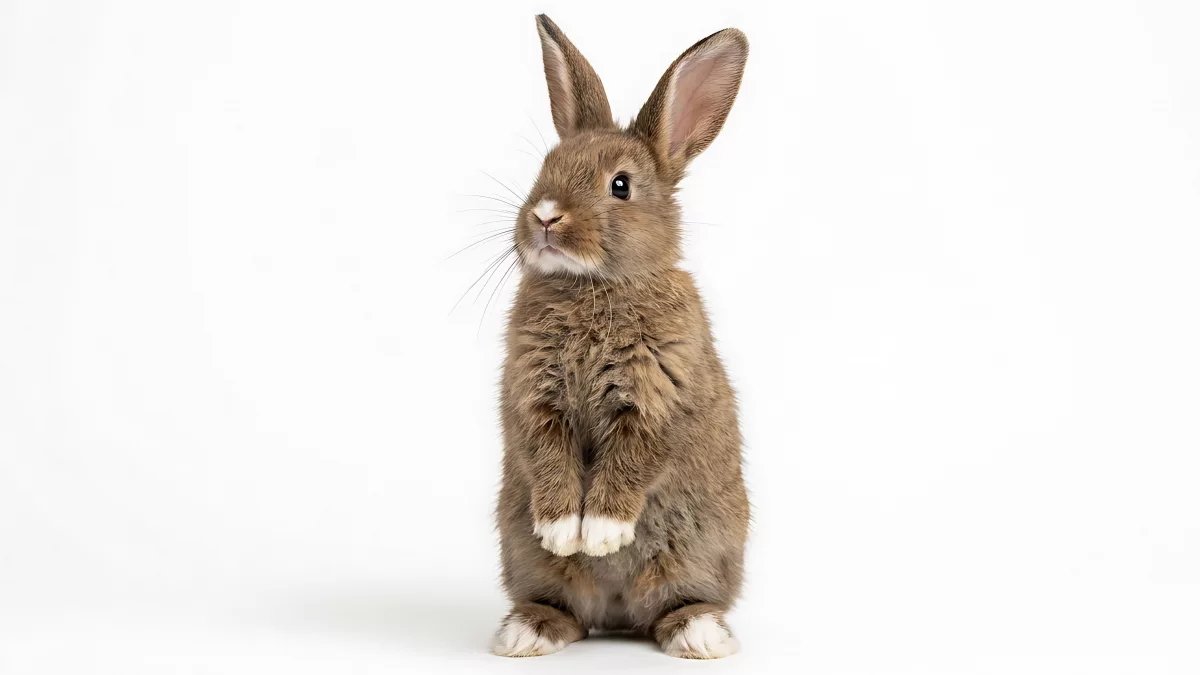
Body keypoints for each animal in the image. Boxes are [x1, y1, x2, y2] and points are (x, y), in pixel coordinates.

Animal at [492, 15, 750, 659]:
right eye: (545, 169)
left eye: (620, 186)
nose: (545, 215)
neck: (595, 286)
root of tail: (616, 613)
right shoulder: (534, 399)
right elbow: (550, 459)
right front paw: (565, 531)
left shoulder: (658, 400)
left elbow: (630, 463)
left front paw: (603, 534)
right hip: (524, 556)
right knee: (565, 609)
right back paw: (528, 631)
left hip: (698, 553)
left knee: (676, 605)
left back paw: (701, 635)